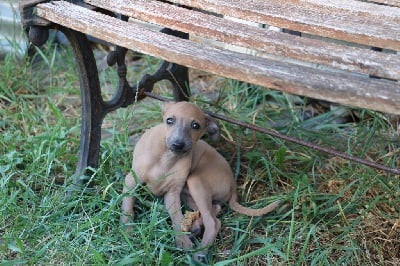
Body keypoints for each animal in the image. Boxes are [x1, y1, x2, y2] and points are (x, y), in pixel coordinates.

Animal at [120, 102, 280, 260]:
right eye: (169, 120)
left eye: (195, 125)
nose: (178, 144)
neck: (167, 158)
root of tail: (233, 185)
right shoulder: (132, 181)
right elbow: (128, 207)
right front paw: (127, 229)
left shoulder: (172, 193)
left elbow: (176, 218)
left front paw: (182, 240)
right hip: (188, 194)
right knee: (215, 210)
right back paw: (195, 228)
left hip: (195, 181)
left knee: (213, 222)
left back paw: (200, 251)